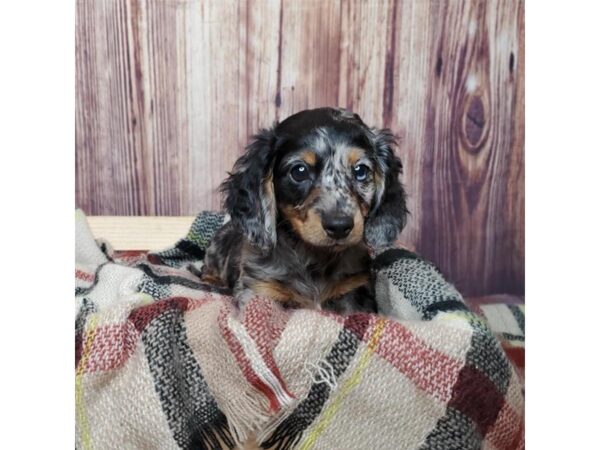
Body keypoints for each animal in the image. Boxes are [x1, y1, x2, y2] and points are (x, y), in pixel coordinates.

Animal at [203, 106, 408, 312]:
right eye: (299, 171)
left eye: (360, 170)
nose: (339, 226)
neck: (315, 257)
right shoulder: (261, 289)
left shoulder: (354, 289)